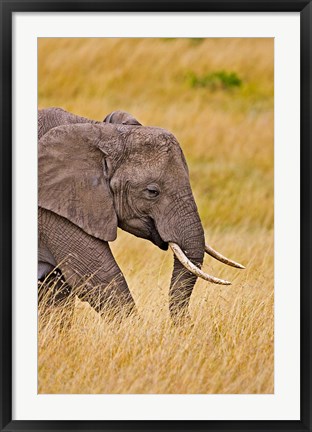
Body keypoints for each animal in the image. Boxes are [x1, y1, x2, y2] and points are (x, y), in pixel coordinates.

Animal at [39, 107, 244, 324]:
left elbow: (55, 290)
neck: (99, 133)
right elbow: (98, 275)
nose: (189, 325)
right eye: (152, 192)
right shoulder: (53, 206)